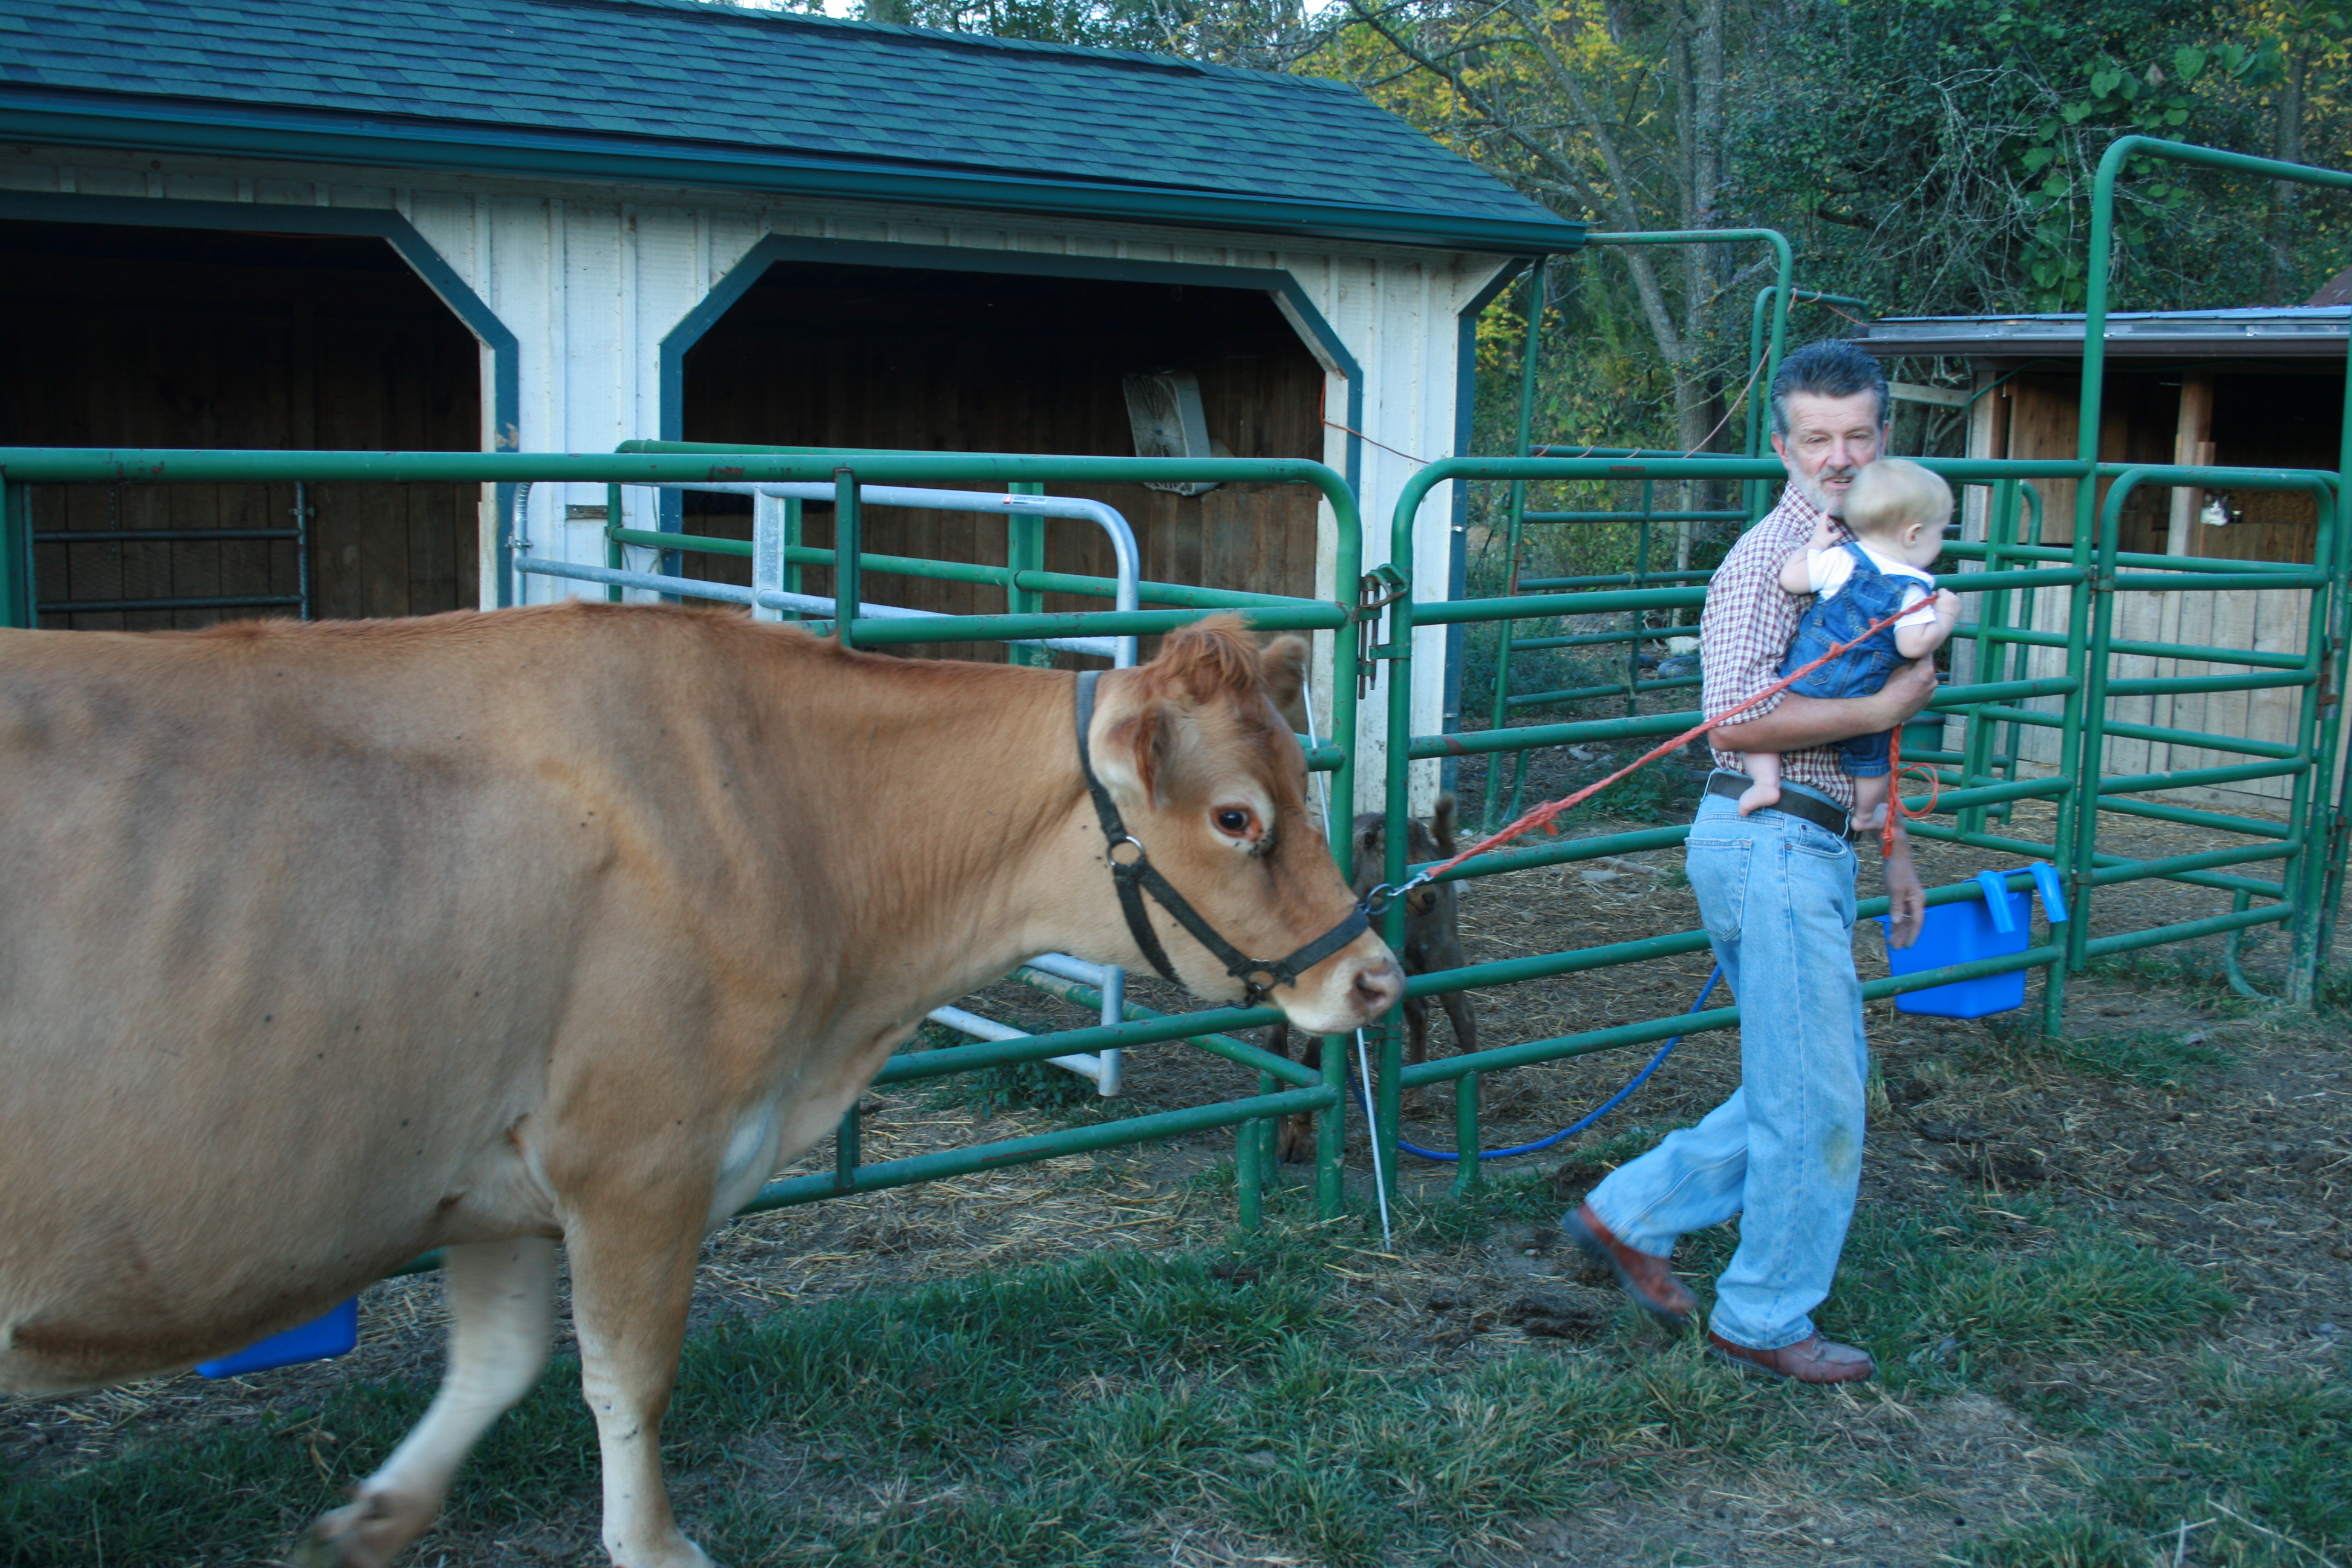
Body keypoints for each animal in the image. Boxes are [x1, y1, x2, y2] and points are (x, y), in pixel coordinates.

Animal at [0, 604, 1402, 1568]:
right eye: (1235, 817)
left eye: (1302, 783)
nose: (1377, 976)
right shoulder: (637, 1157)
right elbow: (628, 1377)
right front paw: (654, 1543)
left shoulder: (495, 1175)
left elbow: (499, 1362)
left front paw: (376, 1518)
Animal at [1263, 795, 1478, 1163]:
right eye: (1390, 851)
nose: (1428, 896)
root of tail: (1443, 851)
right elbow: (1276, 1054)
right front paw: (1279, 1139)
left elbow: (1312, 1061)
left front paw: (1299, 1139)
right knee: (1420, 1011)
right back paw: (1414, 1098)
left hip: (1441, 951)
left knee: (1462, 1013)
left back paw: (1481, 1095)